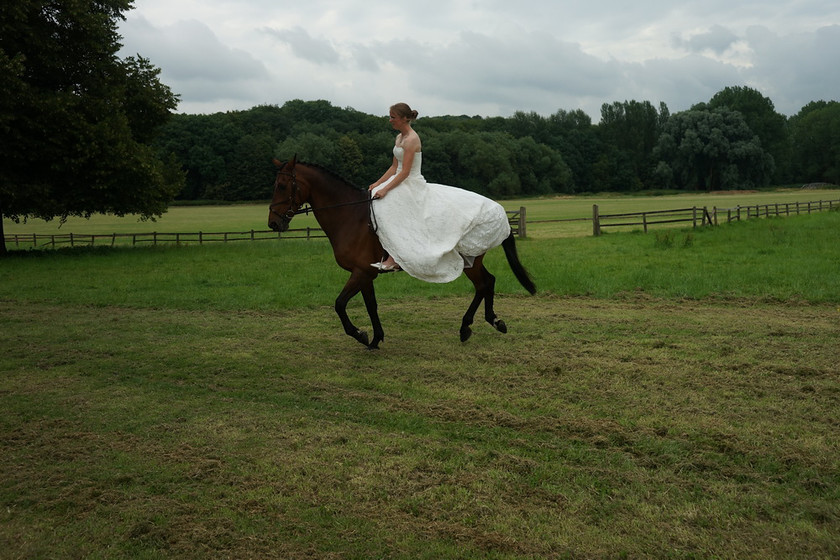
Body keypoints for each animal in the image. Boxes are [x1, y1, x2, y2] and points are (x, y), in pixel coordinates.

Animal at [270, 156, 540, 350]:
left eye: (282, 186)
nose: (273, 223)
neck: (349, 215)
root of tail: (499, 211)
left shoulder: (360, 272)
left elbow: (339, 304)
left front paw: (360, 334)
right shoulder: (366, 274)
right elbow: (371, 306)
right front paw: (375, 339)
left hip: (470, 261)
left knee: (483, 284)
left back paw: (468, 327)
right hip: (470, 260)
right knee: (488, 282)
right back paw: (493, 322)